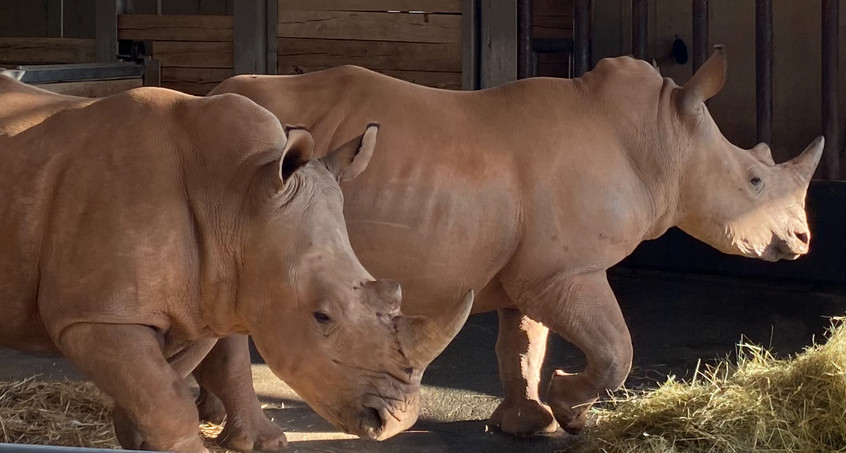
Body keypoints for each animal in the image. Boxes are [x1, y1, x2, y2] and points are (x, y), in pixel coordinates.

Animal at [0, 78, 474, 452]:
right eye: (321, 316)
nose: (396, 421)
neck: (236, 198)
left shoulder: (210, 294)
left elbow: (173, 382)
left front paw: (135, 437)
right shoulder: (92, 316)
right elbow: (167, 399)